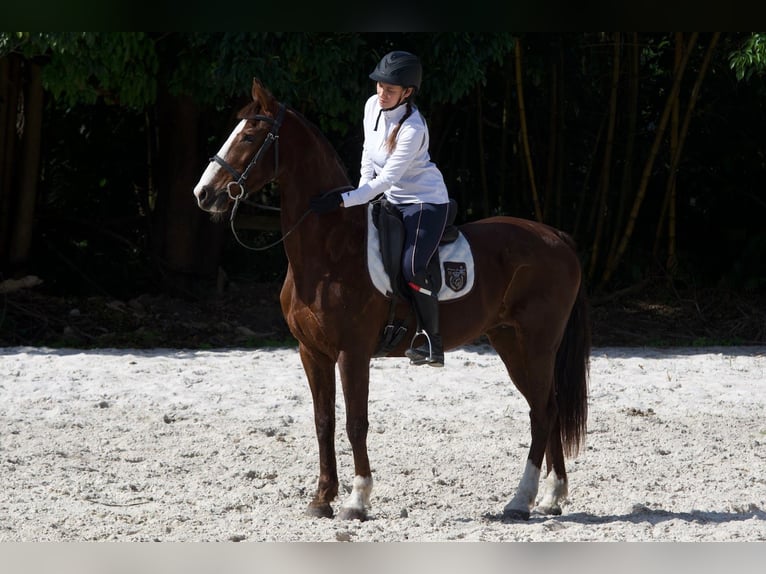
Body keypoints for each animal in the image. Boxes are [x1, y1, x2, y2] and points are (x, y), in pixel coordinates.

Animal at [194, 76, 592, 520]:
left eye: (249, 136)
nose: (204, 194)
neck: (331, 246)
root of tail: (556, 237)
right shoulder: (311, 352)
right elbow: (323, 421)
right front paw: (322, 498)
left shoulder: (352, 352)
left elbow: (355, 422)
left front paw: (356, 499)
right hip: (509, 341)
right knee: (548, 408)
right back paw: (552, 496)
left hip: (536, 343)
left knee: (542, 412)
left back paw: (521, 500)